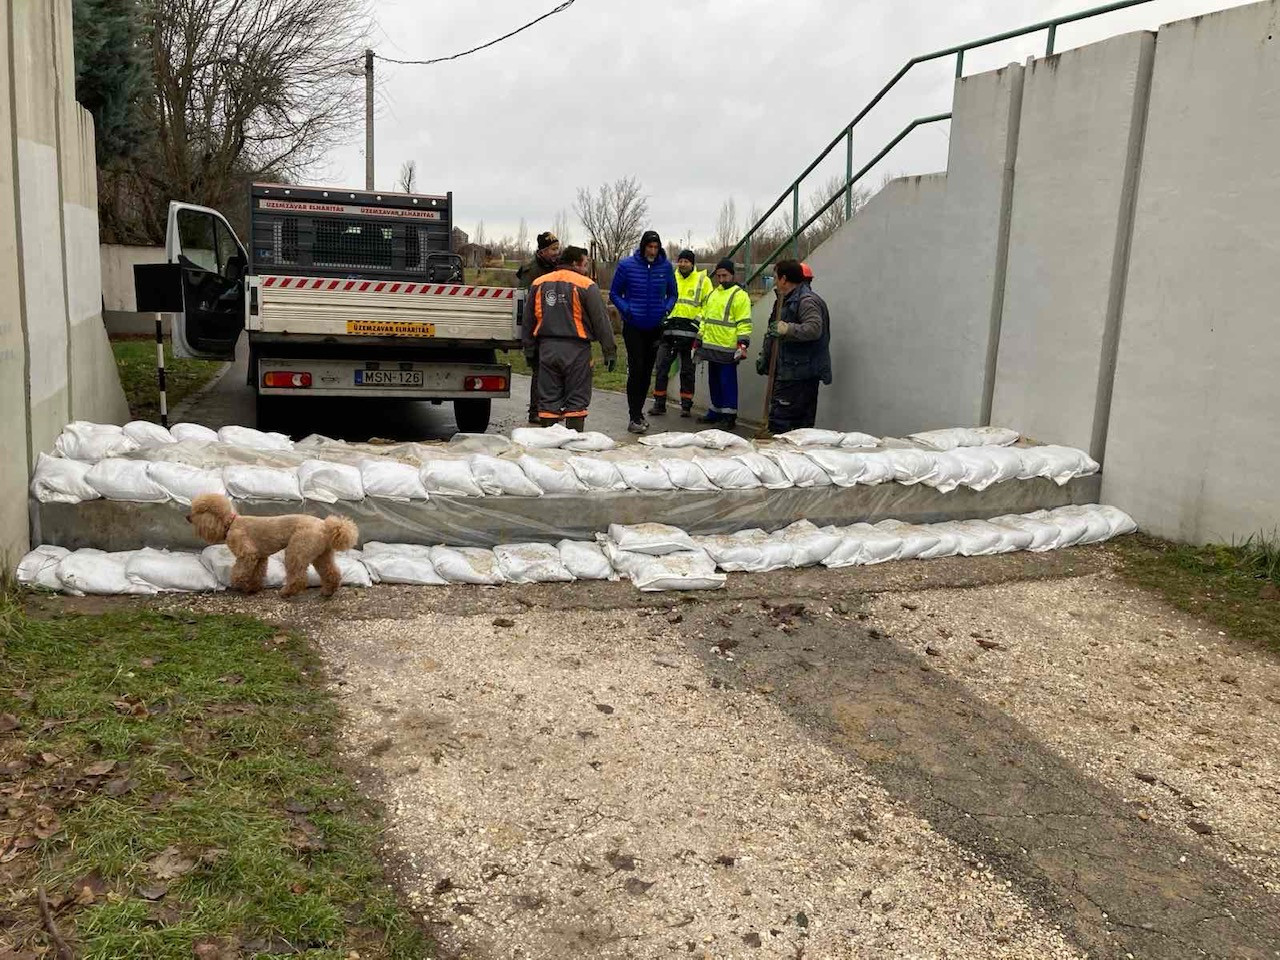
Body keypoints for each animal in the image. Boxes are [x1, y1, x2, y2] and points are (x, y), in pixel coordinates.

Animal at [185, 491, 358, 599]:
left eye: (199, 511)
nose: (187, 517)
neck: (231, 523)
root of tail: (325, 526)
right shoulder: (260, 557)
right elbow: (257, 573)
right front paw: (253, 588)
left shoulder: (247, 554)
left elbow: (239, 572)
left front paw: (240, 584)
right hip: (321, 554)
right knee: (331, 572)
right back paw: (328, 591)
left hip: (297, 550)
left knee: (298, 577)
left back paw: (286, 592)